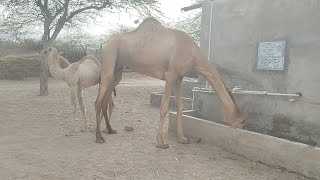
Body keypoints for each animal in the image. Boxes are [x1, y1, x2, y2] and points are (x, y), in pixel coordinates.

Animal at [95, 17, 245, 148]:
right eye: (242, 120)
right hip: (109, 60)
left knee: (105, 100)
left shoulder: (179, 78)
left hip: (117, 71)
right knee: (98, 102)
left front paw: (182, 138)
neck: (194, 55)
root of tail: (105, 46)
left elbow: (179, 107)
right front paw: (161, 143)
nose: (244, 125)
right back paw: (98, 137)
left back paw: (109, 130)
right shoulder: (170, 75)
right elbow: (164, 108)